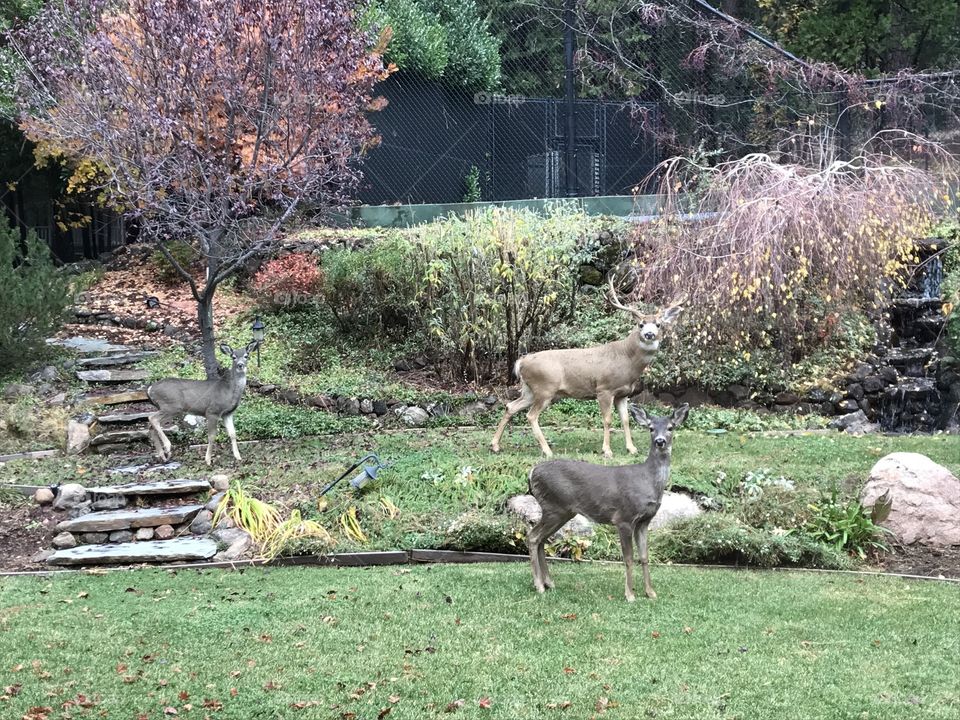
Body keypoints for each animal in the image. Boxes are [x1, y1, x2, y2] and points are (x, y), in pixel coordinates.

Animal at [491, 276, 683, 458]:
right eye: (640, 324)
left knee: (511, 406)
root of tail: (521, 362)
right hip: (545, 388)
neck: (626, 359)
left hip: (530, 390)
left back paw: (495, 445)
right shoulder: (604, 389)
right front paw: (607, 451)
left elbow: (626, 420)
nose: (649, 334)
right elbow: (607, 419)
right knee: (531, 415)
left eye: (658, 324)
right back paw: (547, 451)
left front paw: (632, 449)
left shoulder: (623, 394)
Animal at [526, 404, 689, 602]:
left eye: (671, 427)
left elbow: (644, 556)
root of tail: (532, 472)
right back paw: (539, 585)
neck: (648, 481)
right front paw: (630, 595)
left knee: (541, 539)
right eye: (651, 428)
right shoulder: (624, 518)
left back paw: (549, 582)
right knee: (533, 537)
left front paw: (650, 592)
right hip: (553, 507)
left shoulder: (644, 521)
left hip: (562, 511)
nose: (660, 441)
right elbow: (628, 558)